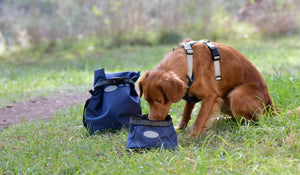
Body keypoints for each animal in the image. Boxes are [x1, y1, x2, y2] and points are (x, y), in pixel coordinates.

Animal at [138, 39, 278, 137]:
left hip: (236, 94)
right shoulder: (190, 94)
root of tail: (270, 103)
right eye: (147, 101)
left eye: (159, 101)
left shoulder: (211, 96)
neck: (190, 62)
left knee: (254, 120)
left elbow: (200, 118)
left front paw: (193, 136)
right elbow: (186, 114)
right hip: (224, 102)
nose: (151, 120)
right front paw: (180, 128)